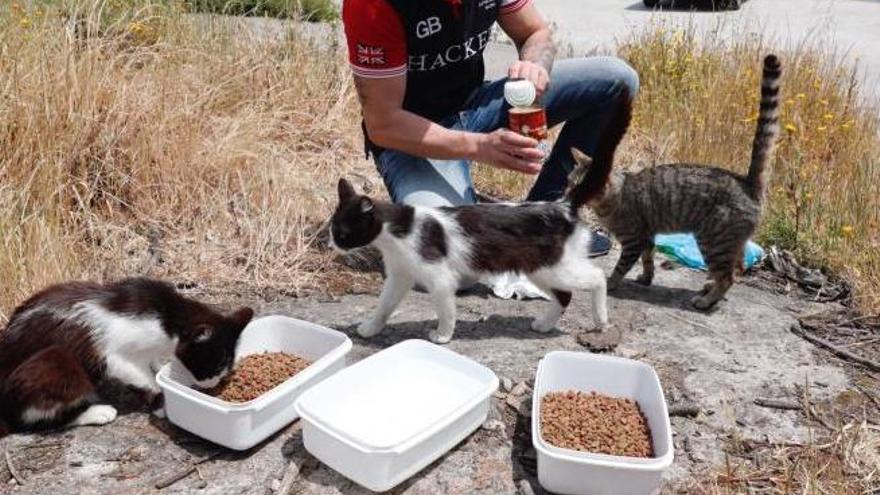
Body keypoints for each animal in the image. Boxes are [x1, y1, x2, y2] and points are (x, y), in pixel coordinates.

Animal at [0, 280, 254, 438]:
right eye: (216, 364)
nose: (212, 384)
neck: (167, 317)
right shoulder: (114, 356)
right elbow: (143, 378)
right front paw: (160, 401)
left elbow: (152, 365)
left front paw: (160, 371)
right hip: (54, 360)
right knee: (32, 419)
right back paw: (97, 412)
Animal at [330, 91, 632, 342]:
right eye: (333, 231)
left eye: (343, 233)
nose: (333, 245)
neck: (399, 230)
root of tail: (563, 204)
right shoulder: (399, 275)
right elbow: (384, 305)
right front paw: (370, 328)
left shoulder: (440, 278)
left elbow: (446, 310)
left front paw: (442, 335)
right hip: (539, 268)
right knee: (565, 296)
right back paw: (544, 324)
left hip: (555, 266)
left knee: (596, 278)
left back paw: (601, 318)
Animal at [576, 55, 780, 310]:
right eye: (570, 180)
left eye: (584, 186)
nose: (570, 194)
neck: (613, 197)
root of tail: (746, 181)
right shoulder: (647, 237)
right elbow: (648, 260)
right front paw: (646, 278)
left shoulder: (634, 240)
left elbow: (621, 266)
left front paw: (611, 282)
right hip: (730, 242)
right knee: (737, 268)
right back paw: (710, 288)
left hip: (712, 240)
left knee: (728, 276)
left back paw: (706, 300)